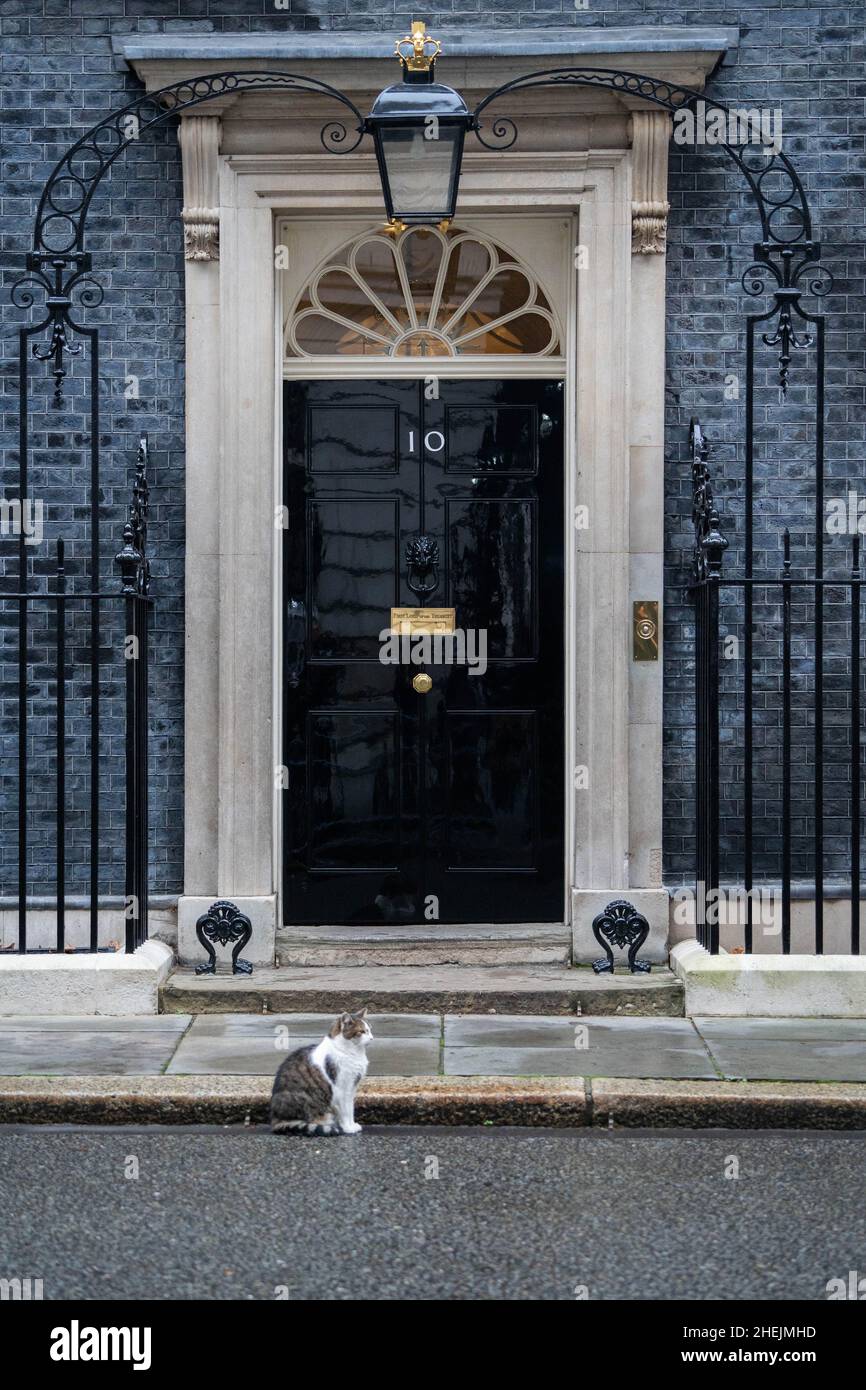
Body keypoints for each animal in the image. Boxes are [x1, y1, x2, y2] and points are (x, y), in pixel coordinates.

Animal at [271, 1011, 372, 1139]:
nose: (372, 1038)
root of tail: (275, 1119)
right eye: (362, 1031)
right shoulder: (343, 1089)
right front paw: (348, 1128)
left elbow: (351, 1109)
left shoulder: (352, 1088)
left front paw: (352, 1125)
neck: (353, 1052)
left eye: (369, 1030)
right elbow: (346, 1111)